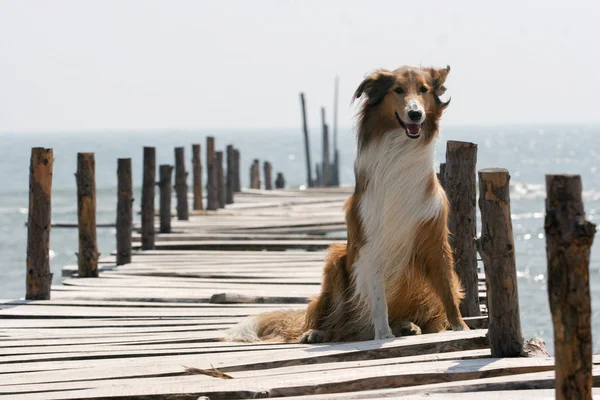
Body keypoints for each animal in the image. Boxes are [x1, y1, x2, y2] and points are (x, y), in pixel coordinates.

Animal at [227, 65, 472, 344]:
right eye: (398, 90)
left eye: (424, 89)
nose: (415, 113)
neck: (400, 150)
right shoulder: (370, 241)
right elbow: (378, 297)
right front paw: (383, 335)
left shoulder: (434, 238)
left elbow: (448, 290)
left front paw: (461, 327)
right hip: (336, 260)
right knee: (337, 324)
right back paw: (318, 332)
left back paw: (407, 325)